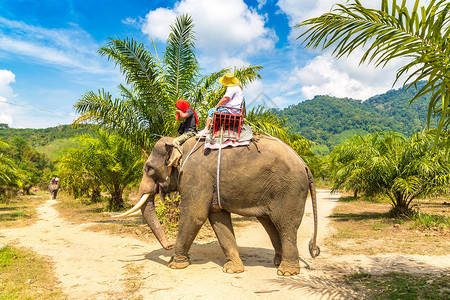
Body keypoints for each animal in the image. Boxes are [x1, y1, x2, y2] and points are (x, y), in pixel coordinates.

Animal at [118, 135, 318, 276]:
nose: (168, 246)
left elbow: (195, 216)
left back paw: (286, 272)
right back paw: (277, 262)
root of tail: (305, 165)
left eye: (149, 169)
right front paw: (232, 269)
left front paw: (175, 264)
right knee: (269, 223)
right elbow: (218, 218)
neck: (179, 141)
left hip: (289, 190)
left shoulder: (195, 176)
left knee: (286, 225)